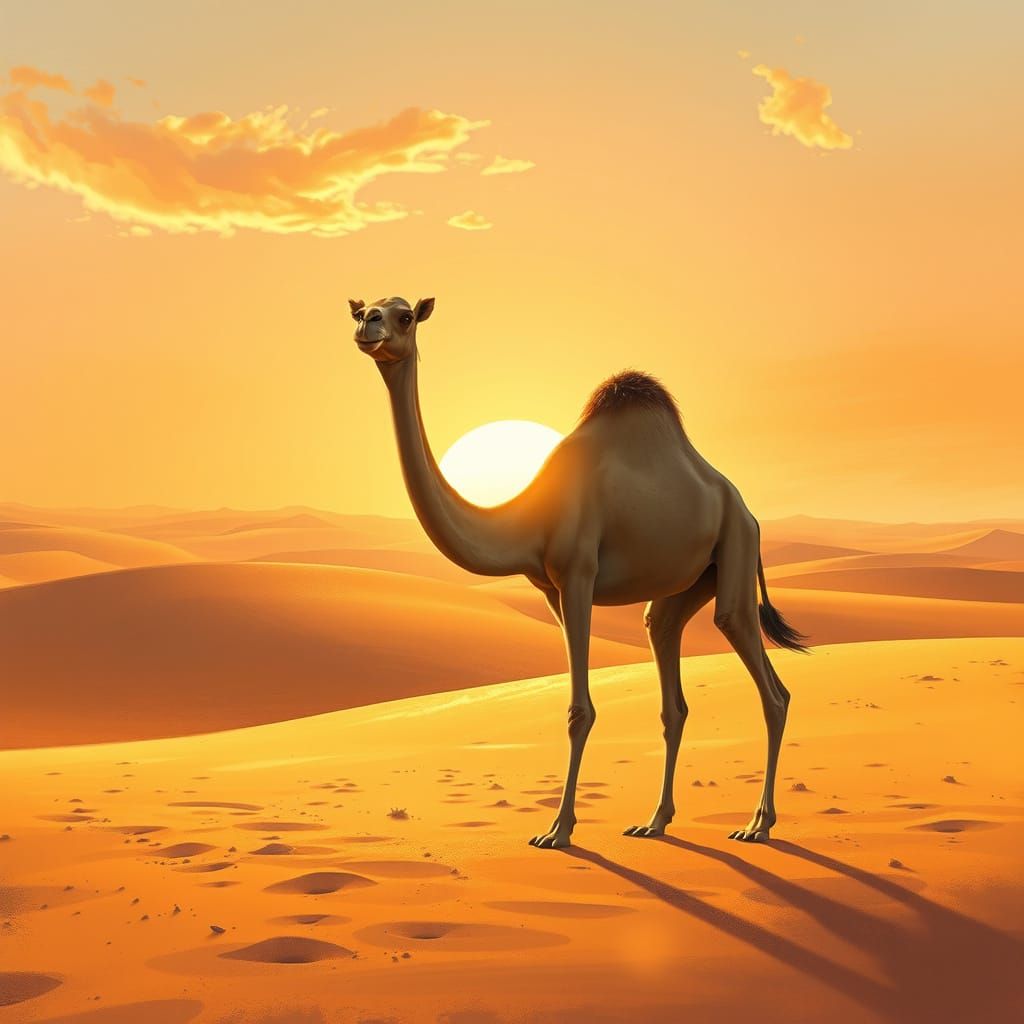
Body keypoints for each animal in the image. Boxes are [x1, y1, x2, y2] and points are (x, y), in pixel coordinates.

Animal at [350, 295, 809, 849]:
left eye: (404, 315)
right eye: (363, 311)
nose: (369, 325)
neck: (528, 516)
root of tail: (746, 508)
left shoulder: (577, 576)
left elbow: (579, 711)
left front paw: (558, 830)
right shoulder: (549, 589)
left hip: (736, 552)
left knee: (768, 683)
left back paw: (758, 824)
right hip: (690, 581)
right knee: (667, 664)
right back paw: (655, 821)